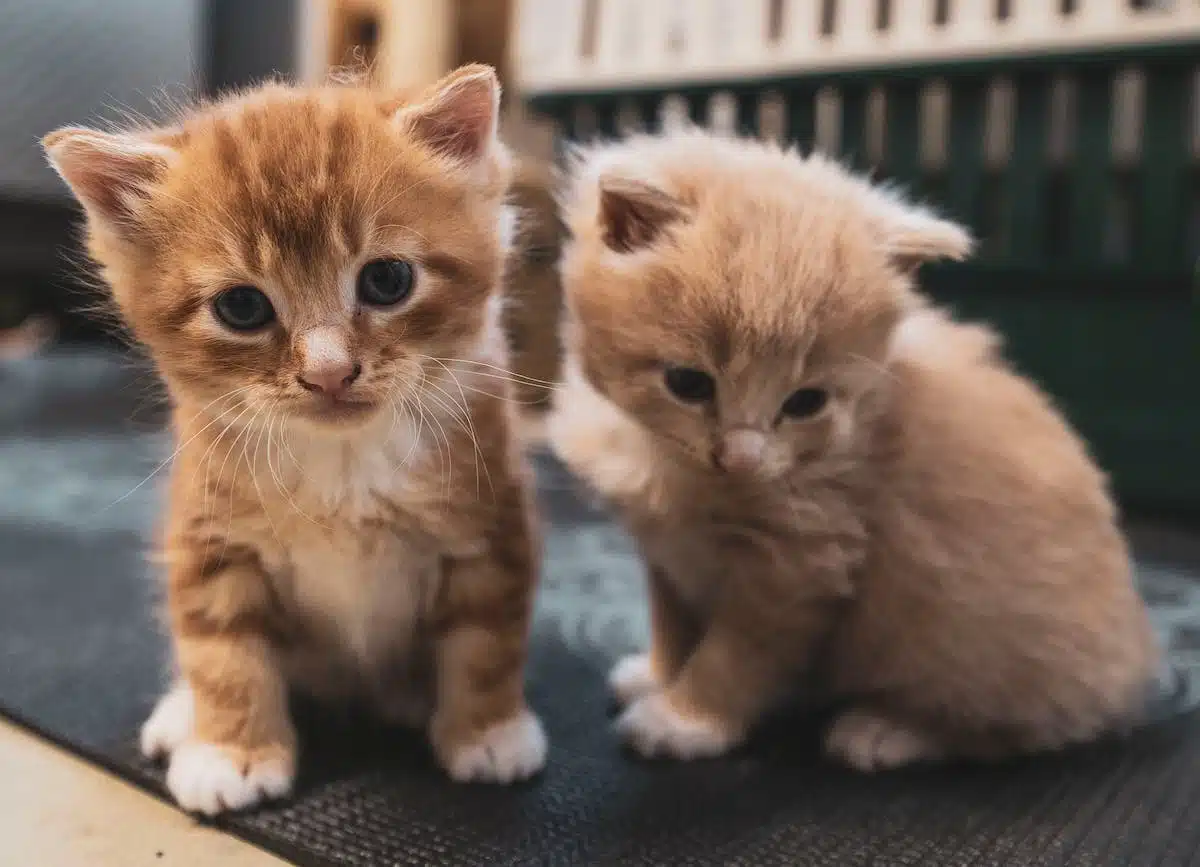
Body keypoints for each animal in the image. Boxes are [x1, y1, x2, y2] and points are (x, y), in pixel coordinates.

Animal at [43, 65, 549, 811]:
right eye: (241, 307)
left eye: (387, 279)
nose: (329, 372)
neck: (344, 465)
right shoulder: (210, 539)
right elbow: (223, 652)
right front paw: (231, 752)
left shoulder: (489, 528)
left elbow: (487, 638)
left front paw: (488, 730)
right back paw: (182, 714)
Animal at [549, 131, 1156, 768]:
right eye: (688, 383)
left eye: (806, 402)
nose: (741, 460)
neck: (668, 465)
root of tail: (1134, 663)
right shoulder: (666, 552)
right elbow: (672, 623)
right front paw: (659, 674)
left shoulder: (801, 565)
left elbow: (734, 657)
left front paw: (683, 720)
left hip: (963, 631)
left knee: (1021, 727)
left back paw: (888, 730)